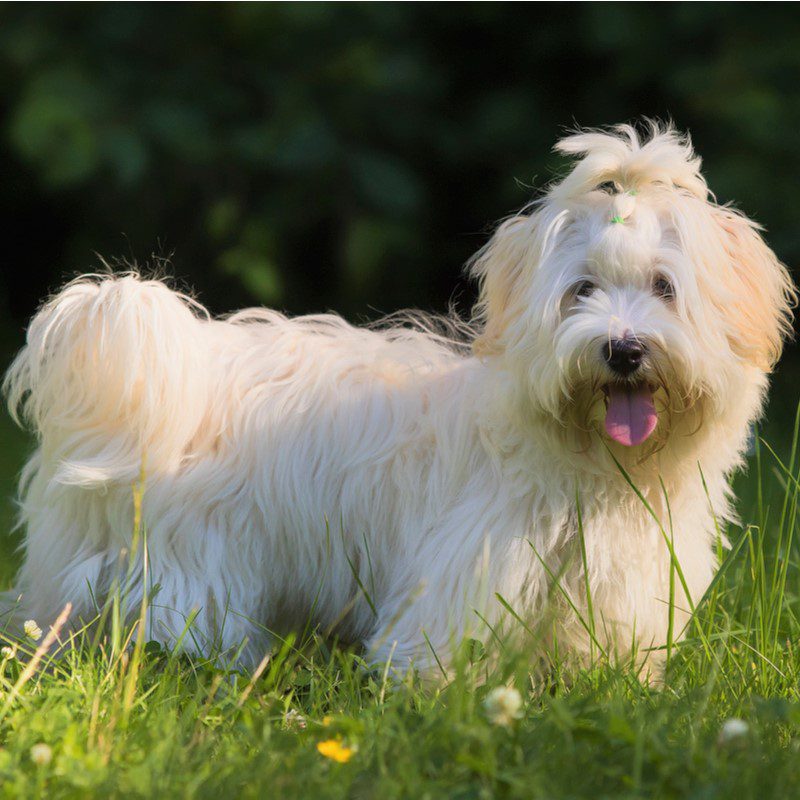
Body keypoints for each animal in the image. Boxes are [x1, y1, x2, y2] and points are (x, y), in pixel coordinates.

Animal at [4, 123, 792, 676]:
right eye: (582, 291)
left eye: (663, 287)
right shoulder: (471, 565)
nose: (623, 350)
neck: (587, 460)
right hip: (189, 560)